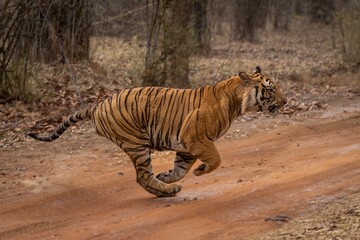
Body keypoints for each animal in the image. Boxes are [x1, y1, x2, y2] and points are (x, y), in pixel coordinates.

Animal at [27, 66, 286, 197]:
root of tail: (97, 104)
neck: (235, 101)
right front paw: (200, 171)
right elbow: (216, 159)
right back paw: (167, 192)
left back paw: (166, 186)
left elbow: (181, 168)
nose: (286, 102)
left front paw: (167, 176)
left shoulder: (188, 145)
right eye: (271, 89)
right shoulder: (196, 138)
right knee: (141, 176)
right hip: (136, 143)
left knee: (145, 176)